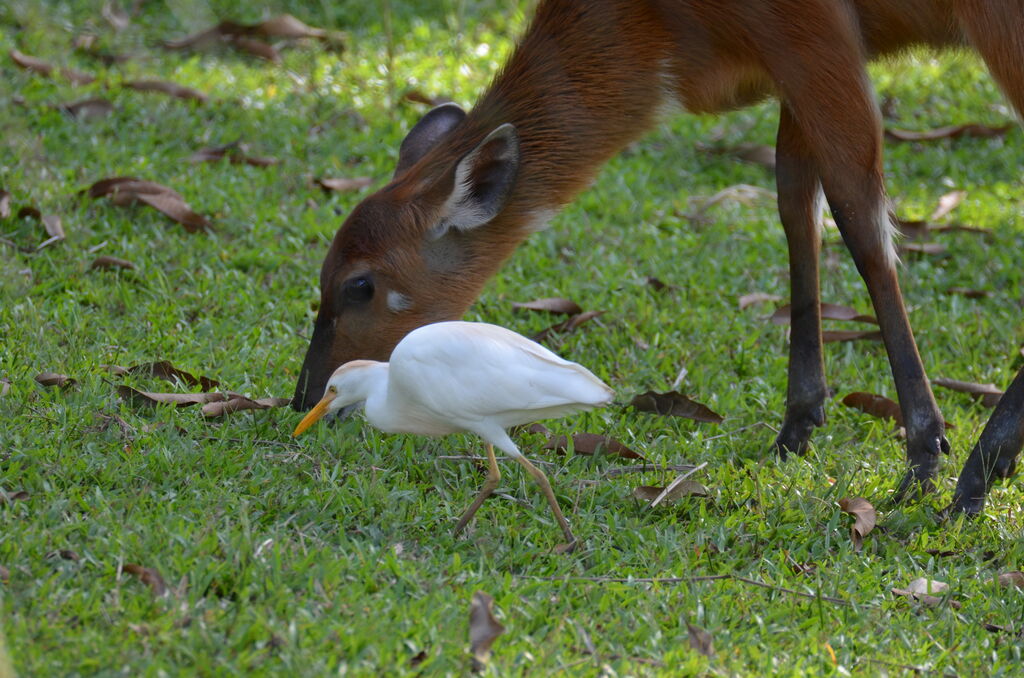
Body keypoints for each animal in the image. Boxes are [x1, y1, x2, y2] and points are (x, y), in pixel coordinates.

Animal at [292, 0, 1019, 512]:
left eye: (360, 285)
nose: (304, 395)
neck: (656, 29)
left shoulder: (814, 40)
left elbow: (863, 225)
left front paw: (924, 454)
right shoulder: (794, 64)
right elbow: (796, 211)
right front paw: (795, 430)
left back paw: (978, 469)